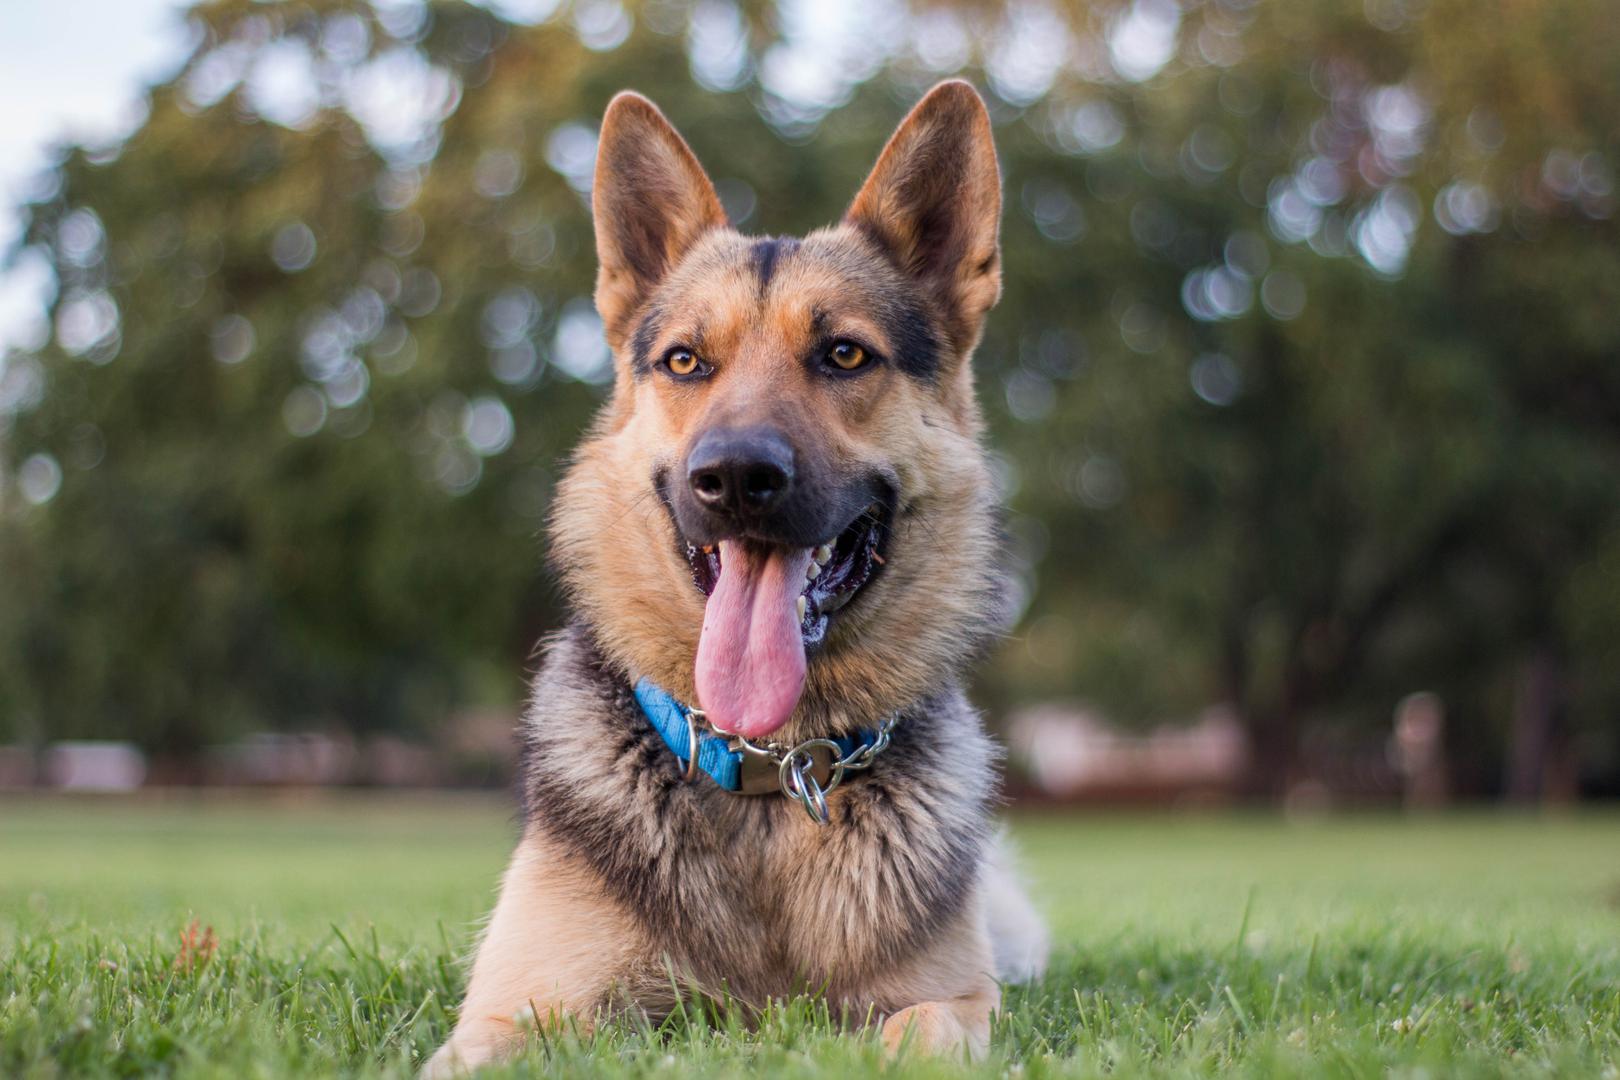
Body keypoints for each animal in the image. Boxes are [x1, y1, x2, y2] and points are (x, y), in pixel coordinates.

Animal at [424, 80, 1043, 1075]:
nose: (736, 478)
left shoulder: (958, 1003)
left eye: (844, 354)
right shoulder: (517, 1011)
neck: (767, 768)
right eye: (685, 360)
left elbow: (914, 1030)